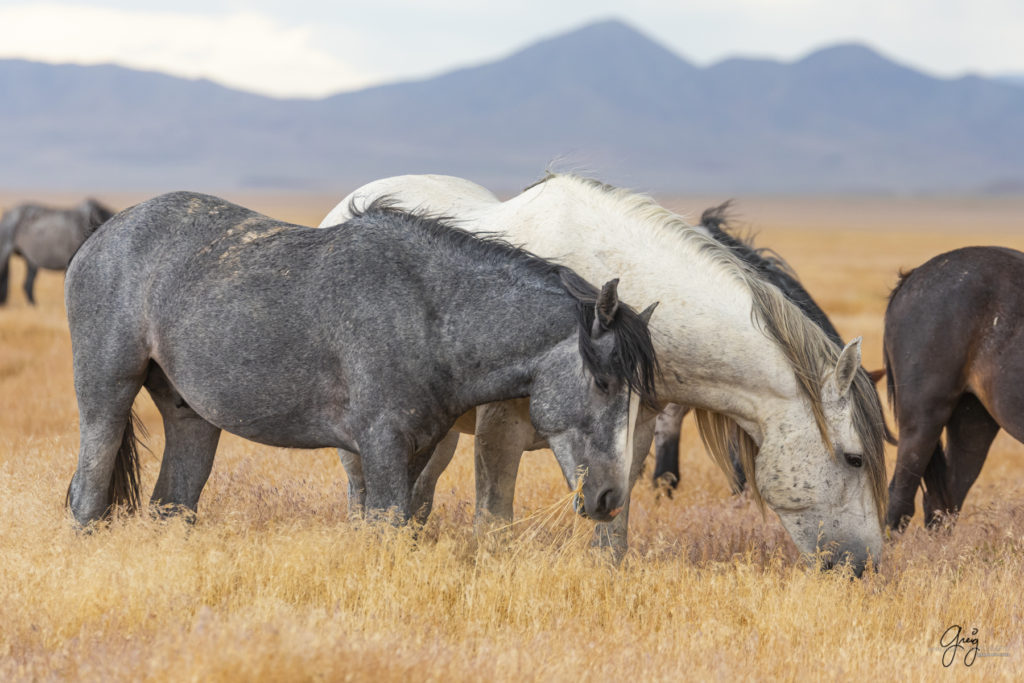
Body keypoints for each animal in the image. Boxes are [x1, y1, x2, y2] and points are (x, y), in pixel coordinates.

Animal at [64, 192, 659, 528]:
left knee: (173, 505)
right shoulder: (382, 446)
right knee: (87, 500)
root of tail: (100, 237)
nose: (610, 497)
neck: (429, 314)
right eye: (603, 383)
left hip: (191, 417)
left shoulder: (419, 448)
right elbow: (387, 527)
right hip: (106, 398)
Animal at [321, 172, 888, 573]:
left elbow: (612, 532)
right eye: (855, 459)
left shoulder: (631, 437)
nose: (866, 567)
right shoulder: (499, 429)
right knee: (363, 495)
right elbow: (493, 524)